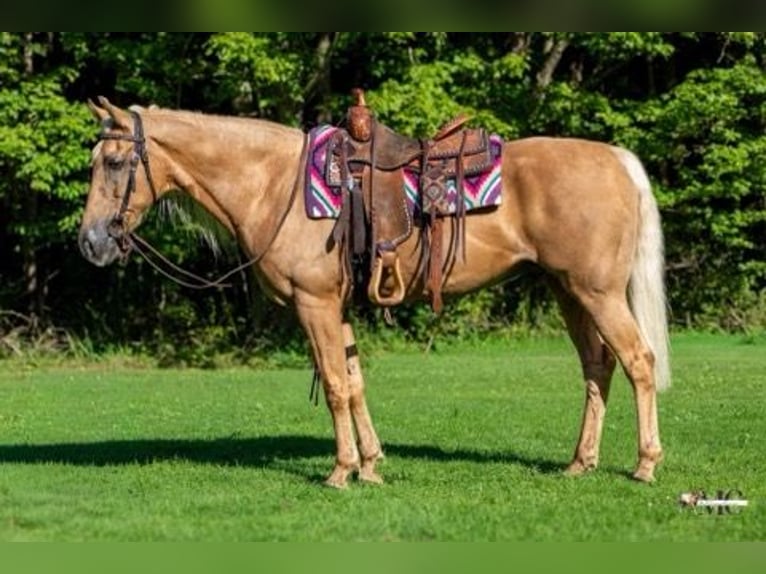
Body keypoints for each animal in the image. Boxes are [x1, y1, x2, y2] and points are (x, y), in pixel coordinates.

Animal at [78, 96, 670, 488]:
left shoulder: (314, 304)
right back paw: (580, 462)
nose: (90, 242)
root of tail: (617, 159)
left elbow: (335, 387)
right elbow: (356, 383)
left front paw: (341, 471)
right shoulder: (334, 306)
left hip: (597, 292)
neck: (273, 185)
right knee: (598, 367)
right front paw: (370, 465)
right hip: (570, 292)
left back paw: (645, 464)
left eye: (114, 162)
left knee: (638, 361)